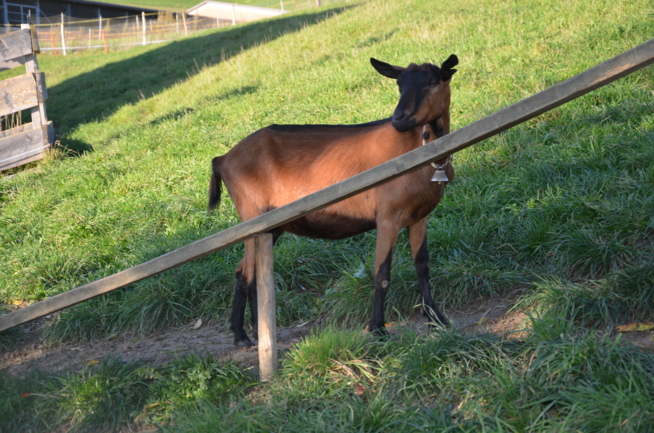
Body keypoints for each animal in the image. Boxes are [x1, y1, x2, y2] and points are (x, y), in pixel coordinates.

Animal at [213, 54, 458, 346]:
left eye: (433, 83)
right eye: (399, 85)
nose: (399, 119)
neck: (419, 155)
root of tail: (223, 159)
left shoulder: (419, 216)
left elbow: (422, 266)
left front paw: (437, 319)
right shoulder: (388, 217)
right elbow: (382, 274)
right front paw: (378, 329)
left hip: (272, 227)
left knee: (244, 272)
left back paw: (247, 334)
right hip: (253, 219)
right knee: (249, 275)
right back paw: (249, 335)